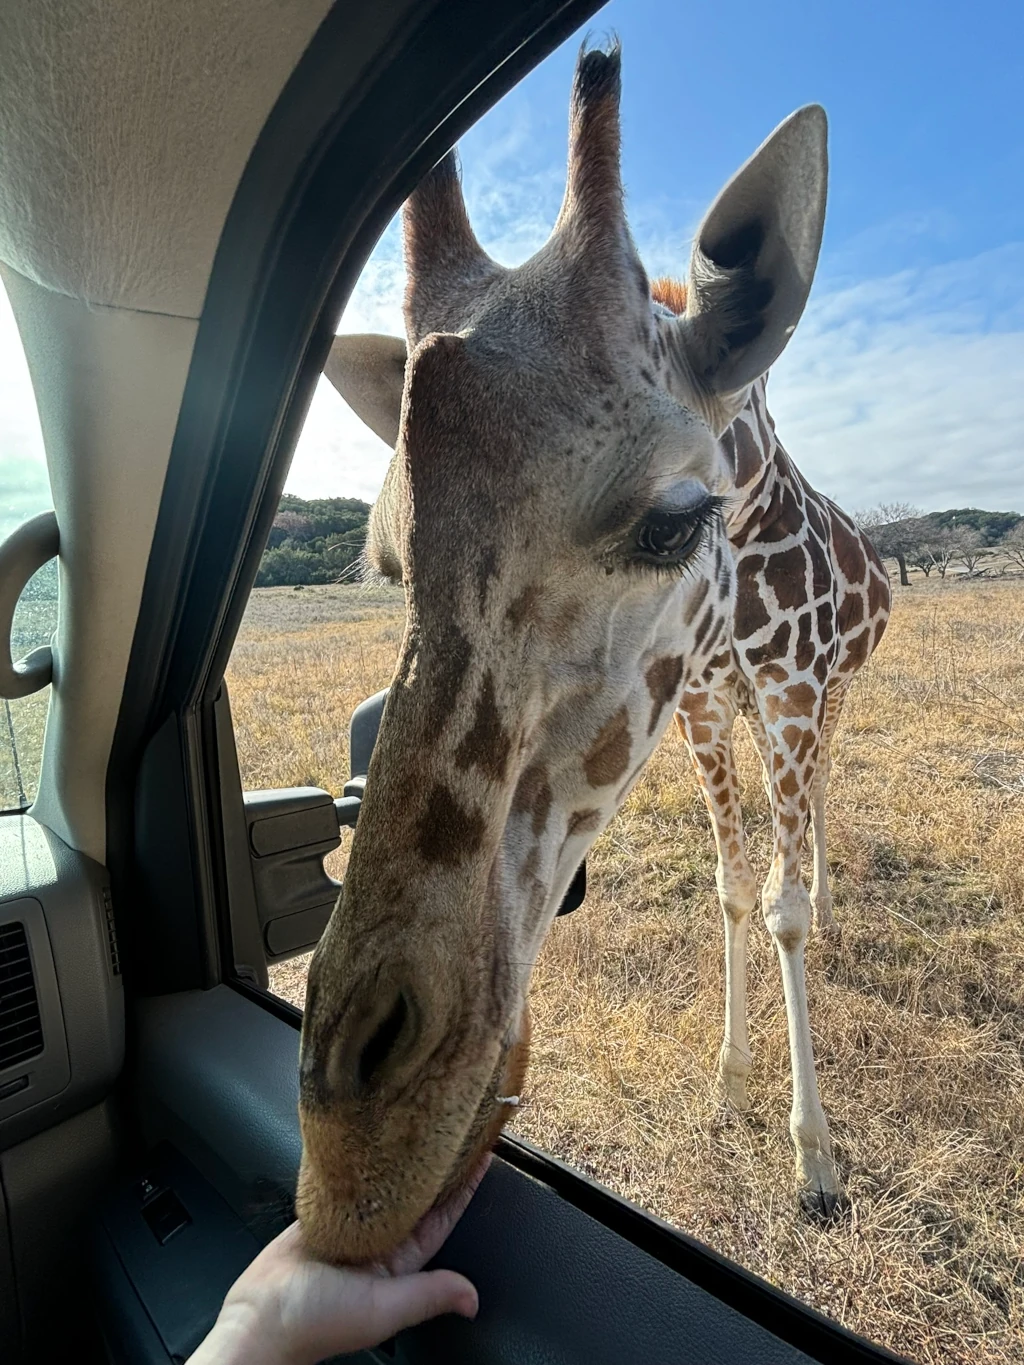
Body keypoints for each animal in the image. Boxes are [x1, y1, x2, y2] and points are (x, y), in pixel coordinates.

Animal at [296, 39, 841, 1255]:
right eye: (390, 563)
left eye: (674, 522)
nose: (351, 1152)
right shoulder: (715, 711)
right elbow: (739, 881)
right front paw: (744, 1098)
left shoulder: (786, 697)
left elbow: (773, 891)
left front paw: (817, 1160)